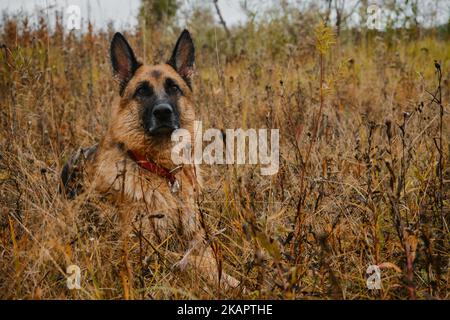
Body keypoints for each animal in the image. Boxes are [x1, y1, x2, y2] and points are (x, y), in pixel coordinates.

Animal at [62, 30, 241, 292]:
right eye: (142, 91)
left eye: (174, 87)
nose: (163, 112)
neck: (162, 170)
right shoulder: (142, 251)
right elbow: (192, 262)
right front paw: (230, 281)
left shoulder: (196, 237)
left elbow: (206, 257)